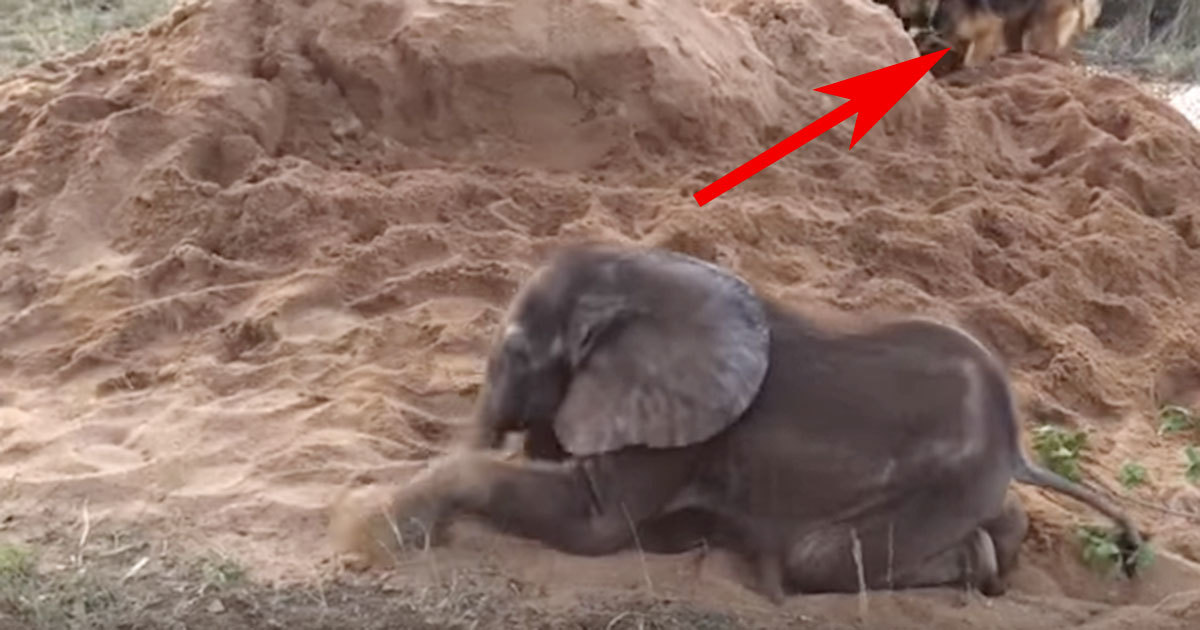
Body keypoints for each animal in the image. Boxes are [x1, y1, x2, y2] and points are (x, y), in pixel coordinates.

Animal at [338, 243, 1144, 603]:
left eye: (514, 351)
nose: (425, 544)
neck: (642, 278)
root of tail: (1017, 445)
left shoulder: (683, 430)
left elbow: (595, 522)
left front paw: (367, 537)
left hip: (943, 480)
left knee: (818, 559)